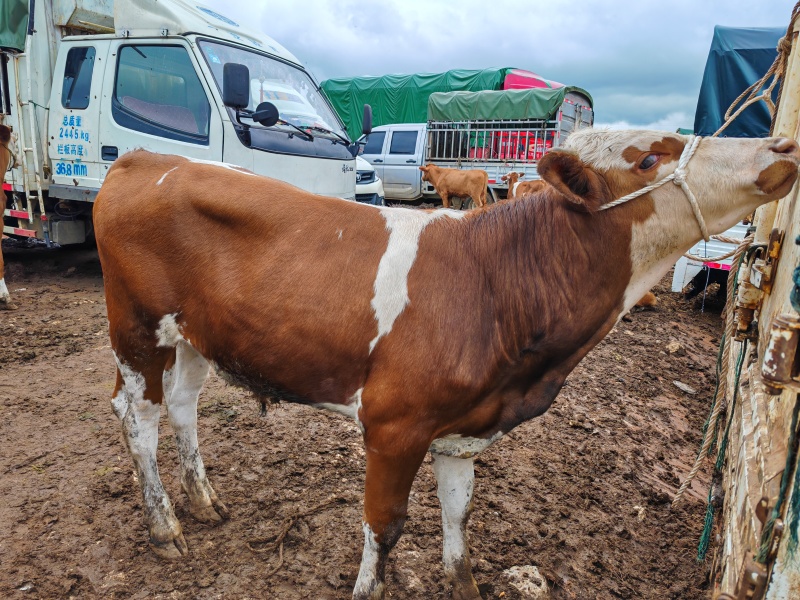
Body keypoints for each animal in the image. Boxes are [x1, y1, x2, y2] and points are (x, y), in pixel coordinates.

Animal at [92, 131, 792, 600]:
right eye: (649, 158)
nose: (783, 143)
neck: (498, 280)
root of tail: (149, 158)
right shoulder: (393, 425)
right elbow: (384, 526)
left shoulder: (463, 430)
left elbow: (458, 517)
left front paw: (465, 584)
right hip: (137, 328)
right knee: (137, 417)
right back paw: (165, 525)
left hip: (195, 337)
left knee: (182, 406)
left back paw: (203, 500)